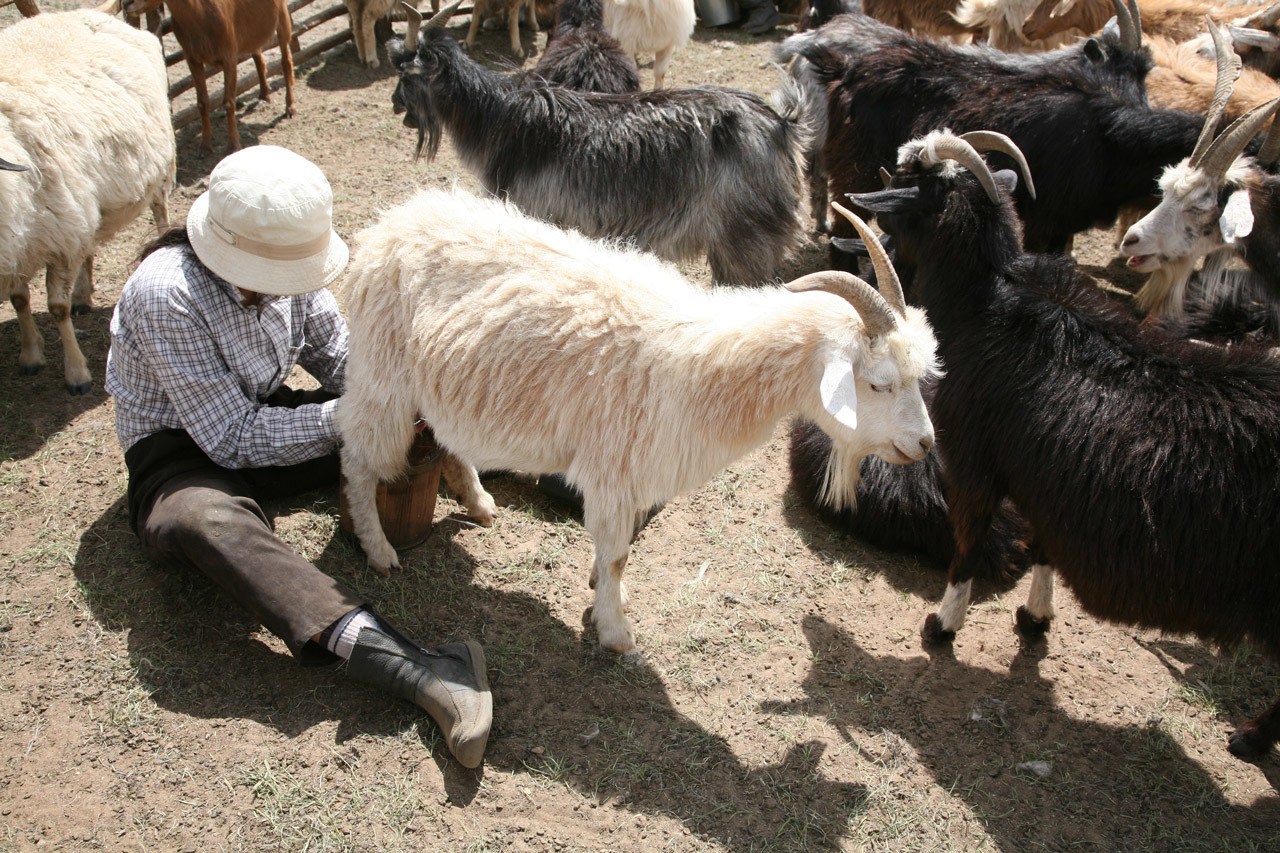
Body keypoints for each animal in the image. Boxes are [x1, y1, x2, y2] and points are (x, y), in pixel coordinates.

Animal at [1, 9, 174, 395]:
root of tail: (82, 11)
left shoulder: (60, 239)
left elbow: (57, 308)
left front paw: (76, 373)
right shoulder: (21, 245)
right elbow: (20, 300)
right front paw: (30, 355)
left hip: (158, 168)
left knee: (160, 210)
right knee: (90, 246)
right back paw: (83, 294)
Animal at [121, 0, 295, 154]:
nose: (126, 3)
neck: (199, 14)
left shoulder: (229, 56)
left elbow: (229, 102)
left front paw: (233, 145)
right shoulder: (192, 58)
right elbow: (202, 102)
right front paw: (205, 146)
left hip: (282, 16)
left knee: (286, 60)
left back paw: (290, 108)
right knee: (258, 55)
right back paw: (264, 95)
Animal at [337, 186, 939, 656]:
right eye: (879, 383)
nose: (926, 444)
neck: (702, 367)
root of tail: (387, 227)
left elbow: (617, 555)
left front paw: (609, 602)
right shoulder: (614, 470)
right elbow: (618, 555)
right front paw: (615, 631)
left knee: (444, 438)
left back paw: (480, 503)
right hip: (383, 379)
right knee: (357, 458)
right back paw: (380, 551)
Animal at [785, 3, 1211, 261]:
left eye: (1144, 75)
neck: (1106, 134)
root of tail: (843, 68)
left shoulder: (1062, 226)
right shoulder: (1043, 221)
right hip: (854, 174)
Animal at [848, 127, 1280, 760]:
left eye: (901, 198)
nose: (864, 248)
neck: (986, 304)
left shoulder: (975, 461)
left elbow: (967, 544)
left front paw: (942, 626)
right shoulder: (1045, 475)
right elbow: (1045, 544)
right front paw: (1035, 618)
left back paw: (1250, 738)